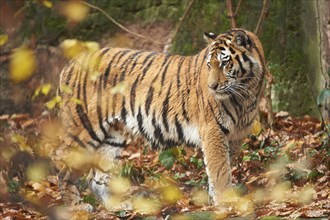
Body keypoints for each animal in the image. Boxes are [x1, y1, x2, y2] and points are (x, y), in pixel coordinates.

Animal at [58, 28, 266, 206]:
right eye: (209, 64)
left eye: (224, 63)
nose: (212, 87)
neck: (247, 92)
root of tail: (70, 64)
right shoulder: (213, 131)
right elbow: (220, 170)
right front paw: (225, 201)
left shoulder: (236, 135)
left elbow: (221, 168)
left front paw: (214, 199)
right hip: (84, 128)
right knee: (63, 169)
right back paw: (76, 208)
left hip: (112, 136)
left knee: (96, 176)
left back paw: (116, 207)